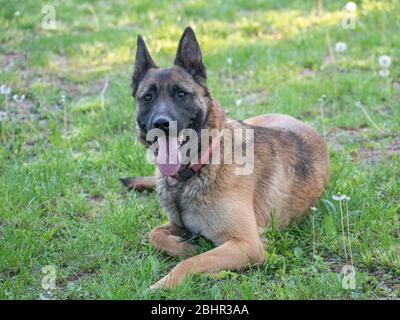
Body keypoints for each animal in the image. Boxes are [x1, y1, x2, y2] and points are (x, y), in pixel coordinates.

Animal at [122, 26, 328, 290]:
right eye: (147, 97)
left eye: (181, 94)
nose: (161, 124)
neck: (201, 165)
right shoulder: (178, 225)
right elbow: (155, 233)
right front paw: (185, 248)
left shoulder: (247, 245)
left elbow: (192, 262)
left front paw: (164, 284)